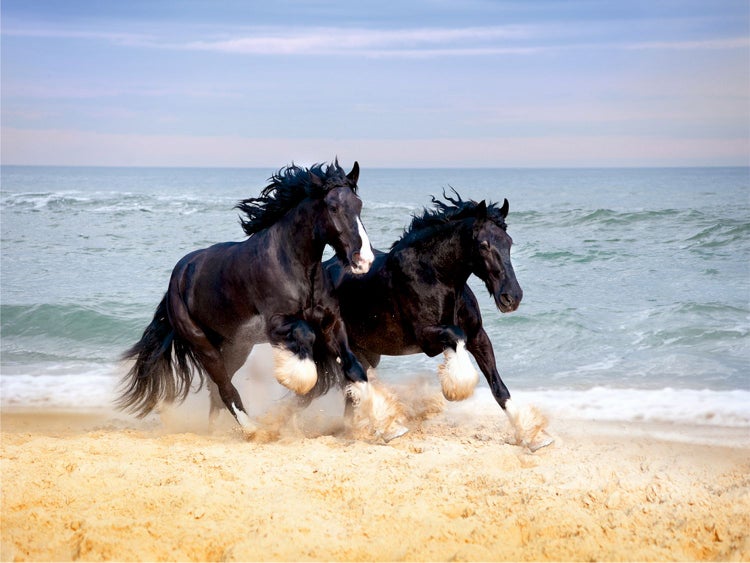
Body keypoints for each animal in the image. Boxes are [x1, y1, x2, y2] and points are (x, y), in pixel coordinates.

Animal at [118, 161, 405, 438]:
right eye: (333, 207)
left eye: (359, 205)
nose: (363, 260)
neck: (294, 265)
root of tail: (178, 276)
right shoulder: (276, 323)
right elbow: (305, 335)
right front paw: (297, 377)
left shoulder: (331, 323)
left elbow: (354, 369)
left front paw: (390, 426)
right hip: (203, 344)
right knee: (224, 386)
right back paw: (252, 429)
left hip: (235, 346)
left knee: (216, 388)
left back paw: (217, 429)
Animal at [318, 191, 552, 450]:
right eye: (484, 244)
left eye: (508, 242)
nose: (512, 297)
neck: (435, 276)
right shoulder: (426, 336)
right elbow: (455, 335)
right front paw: (456, 387)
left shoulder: (478, 336)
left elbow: (498, 387)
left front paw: (532, 436)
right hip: (335, 344)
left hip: (366, 353)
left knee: (353, 390)